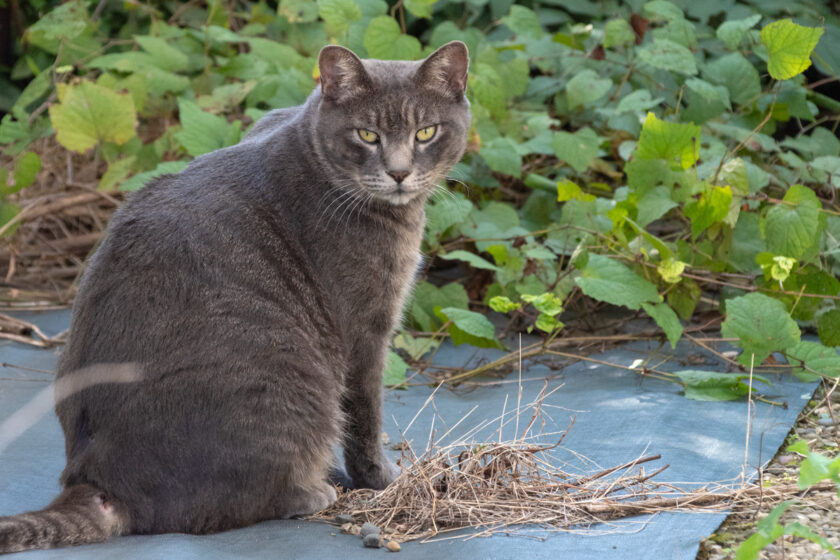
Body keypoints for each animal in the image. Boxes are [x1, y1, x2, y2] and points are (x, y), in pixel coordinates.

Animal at [0, 41, 472, 552]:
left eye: (425, 132)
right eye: (367, 134)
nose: (400, 172)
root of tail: (97, 482)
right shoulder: (365, 331)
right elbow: (365, 414)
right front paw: (383, 478)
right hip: (290, 376)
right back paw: (312, 490)